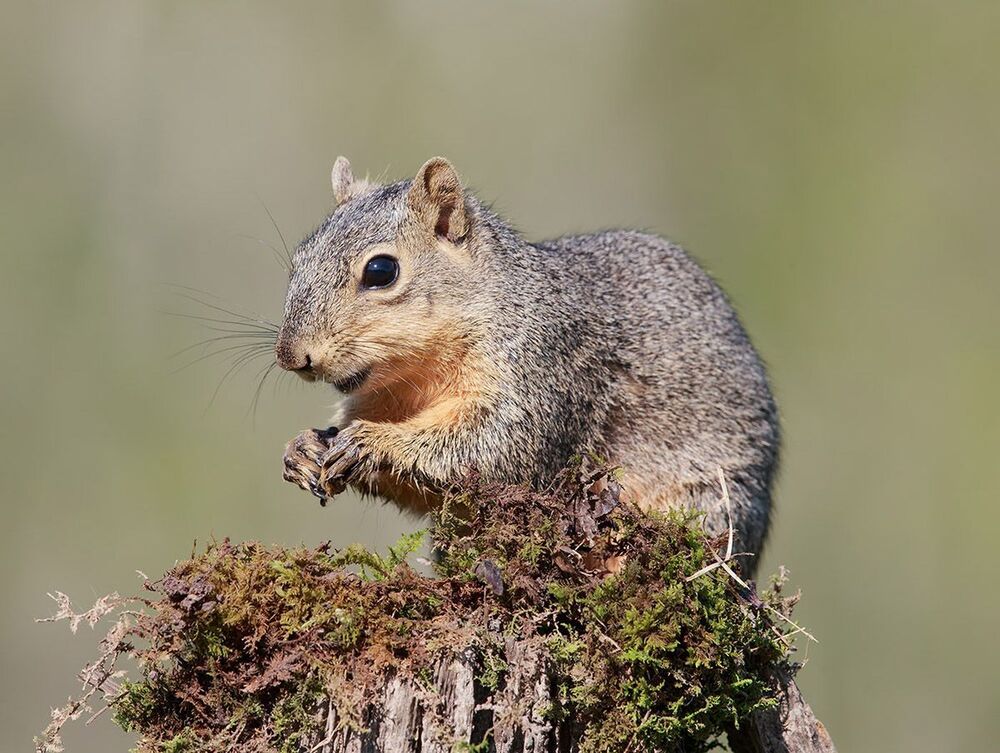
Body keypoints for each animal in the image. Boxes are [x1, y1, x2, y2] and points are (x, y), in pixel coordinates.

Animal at [276, 156, 779, 563]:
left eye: (381, 271)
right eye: (299, 258)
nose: (291, 356)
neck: (419, 378)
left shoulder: (547, 368)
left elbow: (493, 448)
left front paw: (373, 443)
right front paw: (305, 448)